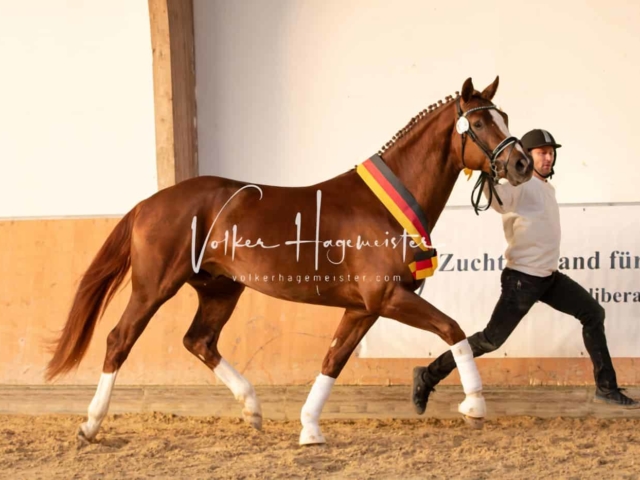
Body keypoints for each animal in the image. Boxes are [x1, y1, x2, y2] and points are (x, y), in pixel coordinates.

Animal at [45, 76, 533, 446]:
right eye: (479, 122)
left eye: (504, 117)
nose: (522, 163)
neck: (384, 206)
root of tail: (149, 202)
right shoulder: (386, 297)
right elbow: (452, 329)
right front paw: (474, 404)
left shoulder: (362, 307)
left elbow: (333, 359)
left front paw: (309, 428)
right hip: (154, 287)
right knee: (119, 340)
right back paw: (90, 424)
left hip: (221, 290)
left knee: (199, 341)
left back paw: (252, 408)